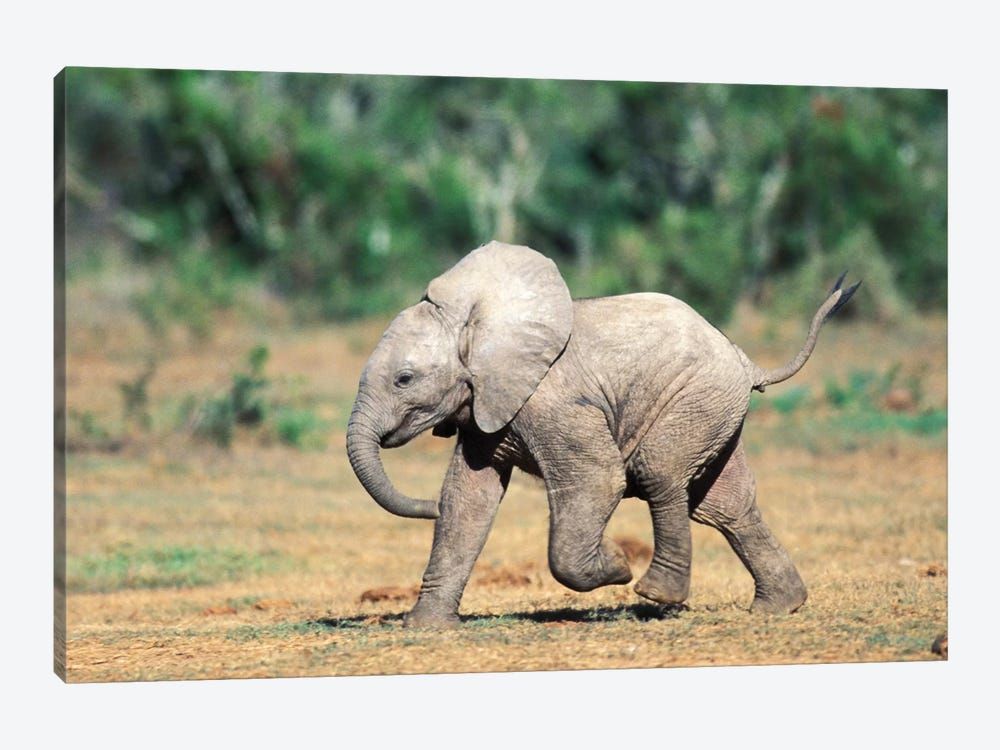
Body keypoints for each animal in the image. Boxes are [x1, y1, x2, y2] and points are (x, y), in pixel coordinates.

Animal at [346, 242, 860, 628]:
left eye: (404, 379)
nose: (424, 506)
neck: (478, 323)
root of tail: (745, 359)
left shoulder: (551, 402)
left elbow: (598, 480)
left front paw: (616, 564)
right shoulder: (487, 403)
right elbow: (467, 499)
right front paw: (426, 627)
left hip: (694, 399)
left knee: (661, 475)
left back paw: (655, 593)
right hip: (715, 411)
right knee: (724, 507)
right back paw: (779, 607)